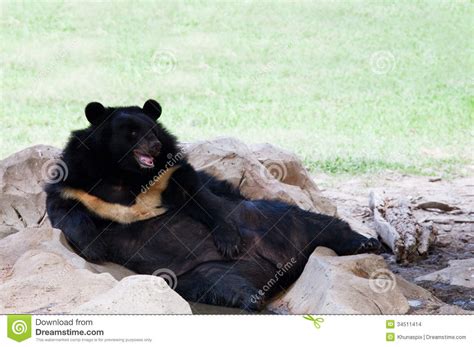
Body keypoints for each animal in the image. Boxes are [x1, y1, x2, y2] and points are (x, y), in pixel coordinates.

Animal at [43, 99, 378, 312]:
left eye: (153, 131)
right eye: (132, 132)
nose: (154, 146)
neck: (124, 173)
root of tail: (276, 264)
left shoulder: (168, 173)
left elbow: (199, 194)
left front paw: (228, 239)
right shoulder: (79, 180)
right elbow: (66, 210)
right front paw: (95, 248)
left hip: (266, 217)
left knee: (318, 225)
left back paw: (366, 243)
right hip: (206, 271)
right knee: (225, 286)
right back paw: (252, 299)